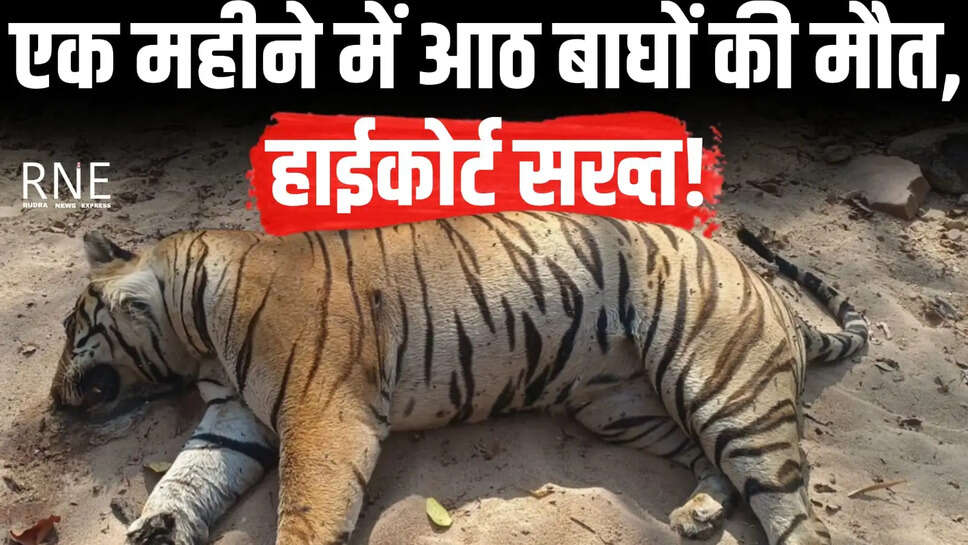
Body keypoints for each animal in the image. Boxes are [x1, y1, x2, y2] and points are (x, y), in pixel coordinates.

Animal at [50, 210, 868, 545]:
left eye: (66, 331)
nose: (53, 402)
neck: (194, 338)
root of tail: (763, 285)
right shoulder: (234, 417)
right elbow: (190, 476)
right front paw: (159, 525)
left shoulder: (322, 417)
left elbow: (304, 511)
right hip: (623, 405)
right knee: (710, 460)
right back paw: (697, 512)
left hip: (720, 384)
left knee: (796, 511)